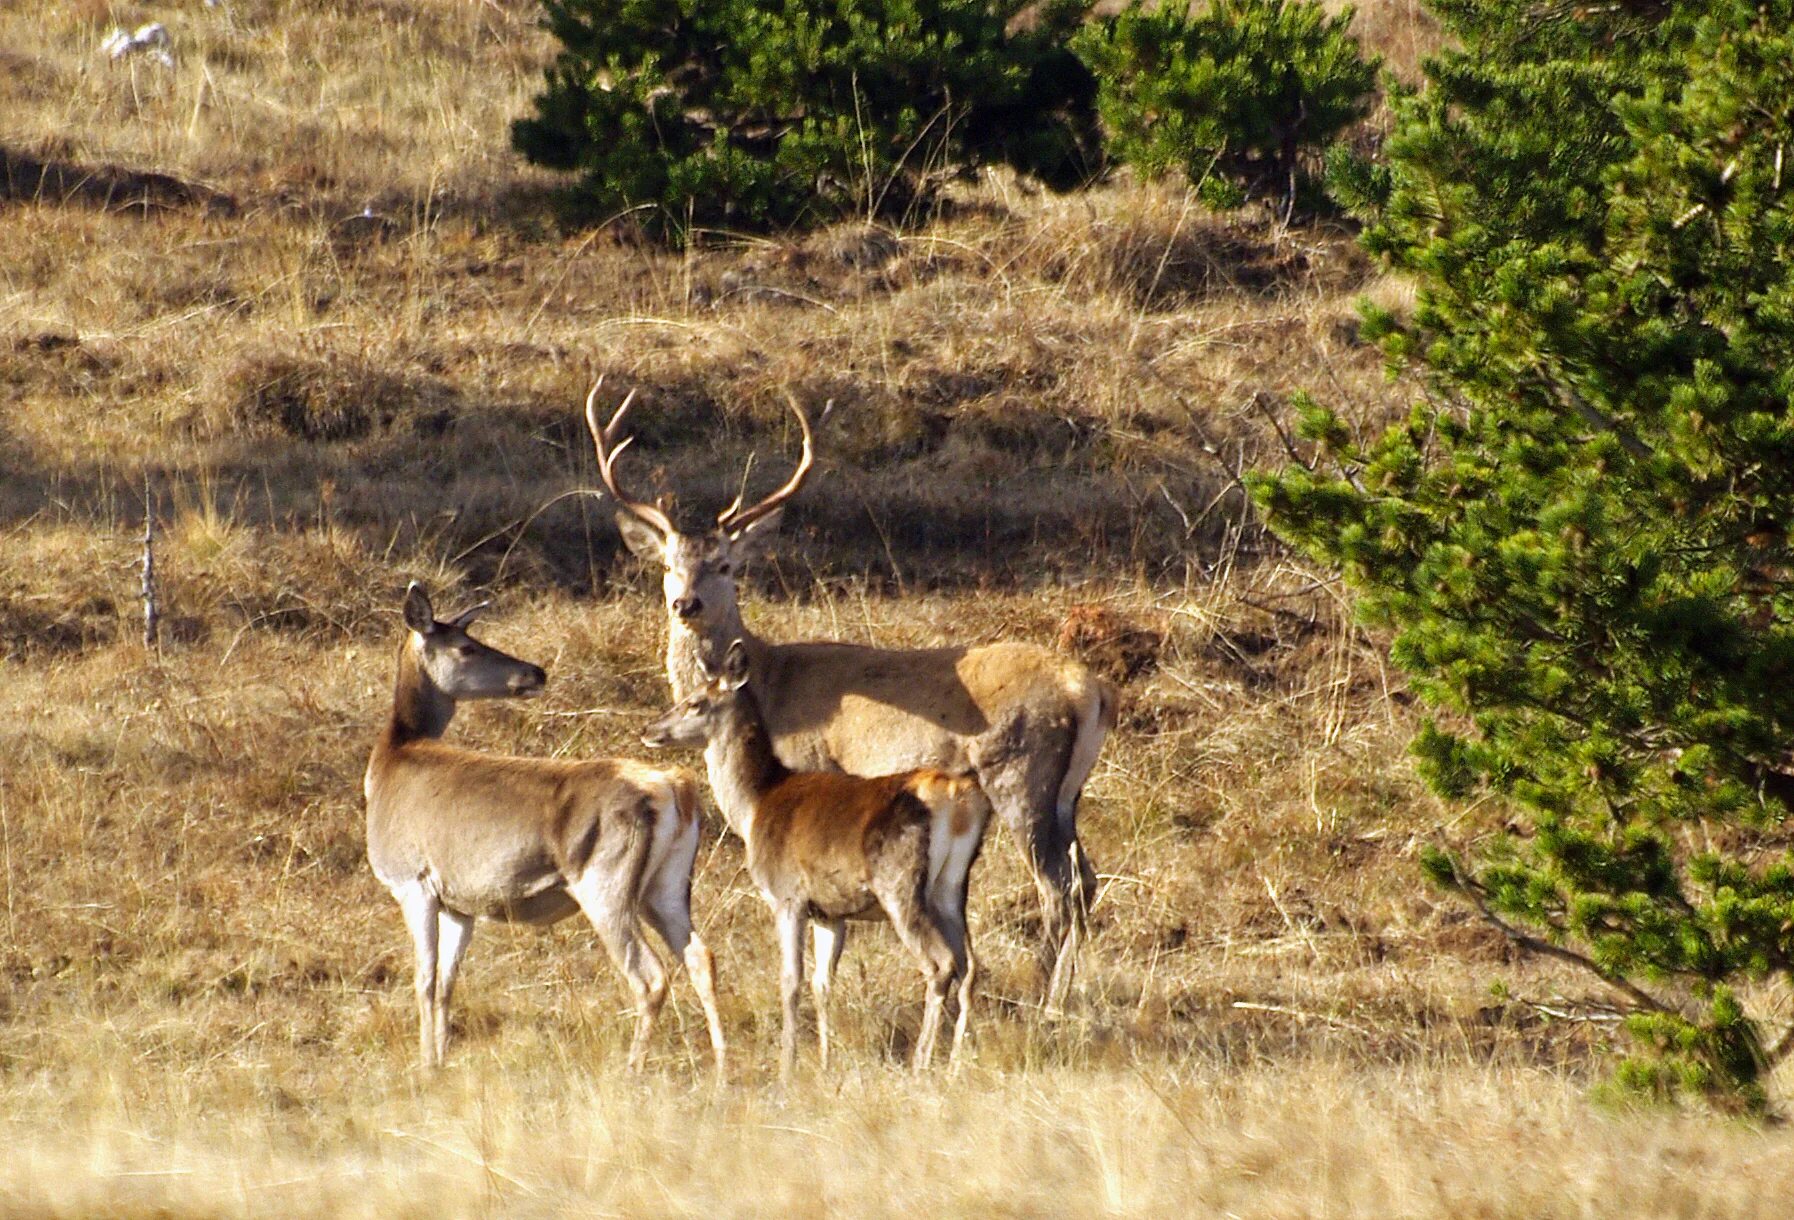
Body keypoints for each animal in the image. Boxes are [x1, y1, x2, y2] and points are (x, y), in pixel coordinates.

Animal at [360, 581, 724, 1069]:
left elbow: (425, 979)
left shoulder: (412, 879)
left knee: (650, 975)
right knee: (700, 957)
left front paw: (426, 1065)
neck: (388, 763)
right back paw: (722, 1064)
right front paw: (441, 1059)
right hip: (665, 886)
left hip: (604, 883)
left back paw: (632, 1068)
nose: (535, 671)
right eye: (467, 646)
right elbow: (449, 981)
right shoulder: (459, 901)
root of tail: (673, 790)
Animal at [588, 383, 1112, 997]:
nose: (685, 603)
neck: (770, 679)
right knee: (1085, 878)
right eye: (669, 565)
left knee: (1056, 885)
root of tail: (1090, 690)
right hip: (1066, 792)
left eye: (724, 565)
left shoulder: (815, 772)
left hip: (1019, 772)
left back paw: (1041, 993)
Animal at [642, 638, 997, 1076]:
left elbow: (791, 980)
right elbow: (822, 982)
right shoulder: (830, 911)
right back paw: (957, 1062)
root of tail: (960, 800)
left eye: (695, 702)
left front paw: (786, 1065)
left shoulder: (787, 896)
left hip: (899, 883)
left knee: (940, 963)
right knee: (970, 967)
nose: (649, 730)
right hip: (951, 888)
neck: (755, 807)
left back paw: (921, 1060)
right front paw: (826, 1061)